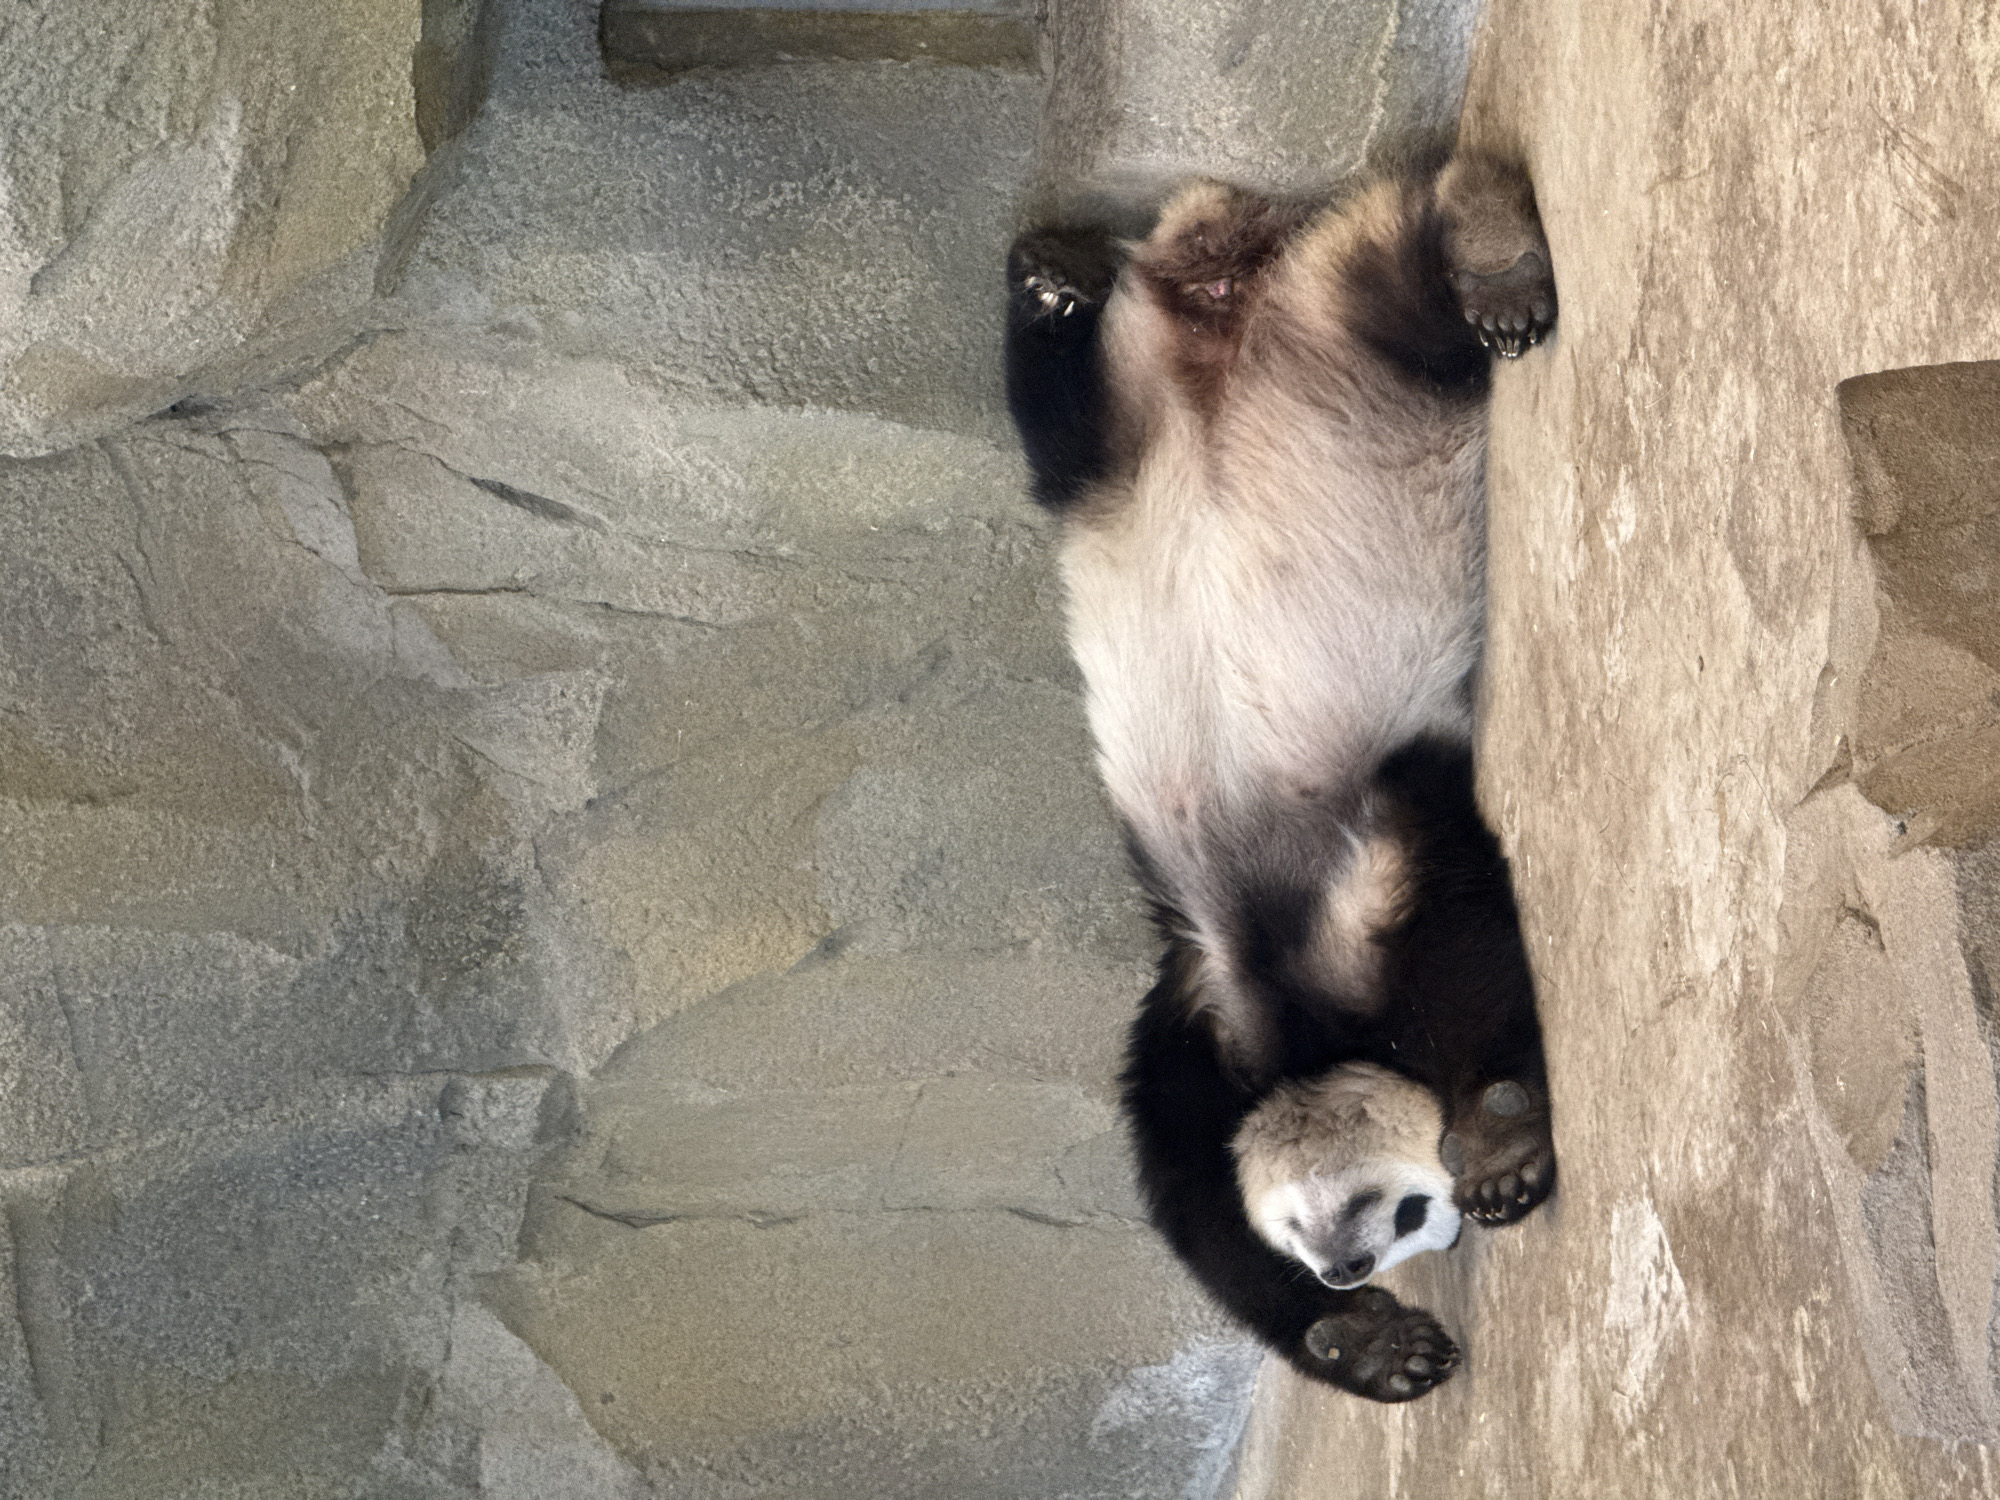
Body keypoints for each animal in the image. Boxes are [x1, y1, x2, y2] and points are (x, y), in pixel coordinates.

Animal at [1002, 150, 1558, 1402]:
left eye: (1395, 1215)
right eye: (1303, 1235)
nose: (1345, 1270)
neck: (1307, 1024)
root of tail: (1227, 286)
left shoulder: (1381, 834)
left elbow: (1465, 937)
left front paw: (1498, 1141)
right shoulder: (1201, 1013)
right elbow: (1190, 1195)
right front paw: (1363, 1342)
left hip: (1345, 341)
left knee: (1402, 283)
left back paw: (1487, 244)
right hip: (1135, 416)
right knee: (1058, 421)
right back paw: (1050, 280)